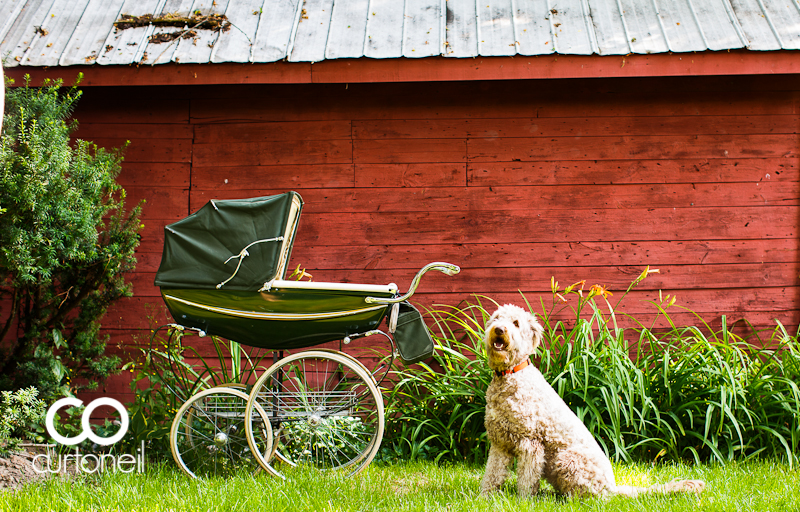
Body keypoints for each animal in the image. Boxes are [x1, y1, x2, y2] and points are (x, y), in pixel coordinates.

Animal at [478, 306, 704, 498]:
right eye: (496, 318)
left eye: (516, 323)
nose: (499, 329)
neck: (511, 375)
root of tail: (613, 488)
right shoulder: (499, 443)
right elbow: (492, 474)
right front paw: (485, 497)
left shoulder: (531, 444)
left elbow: (526, 479)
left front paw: (523, 502)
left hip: (567, 460)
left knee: (587, 497)